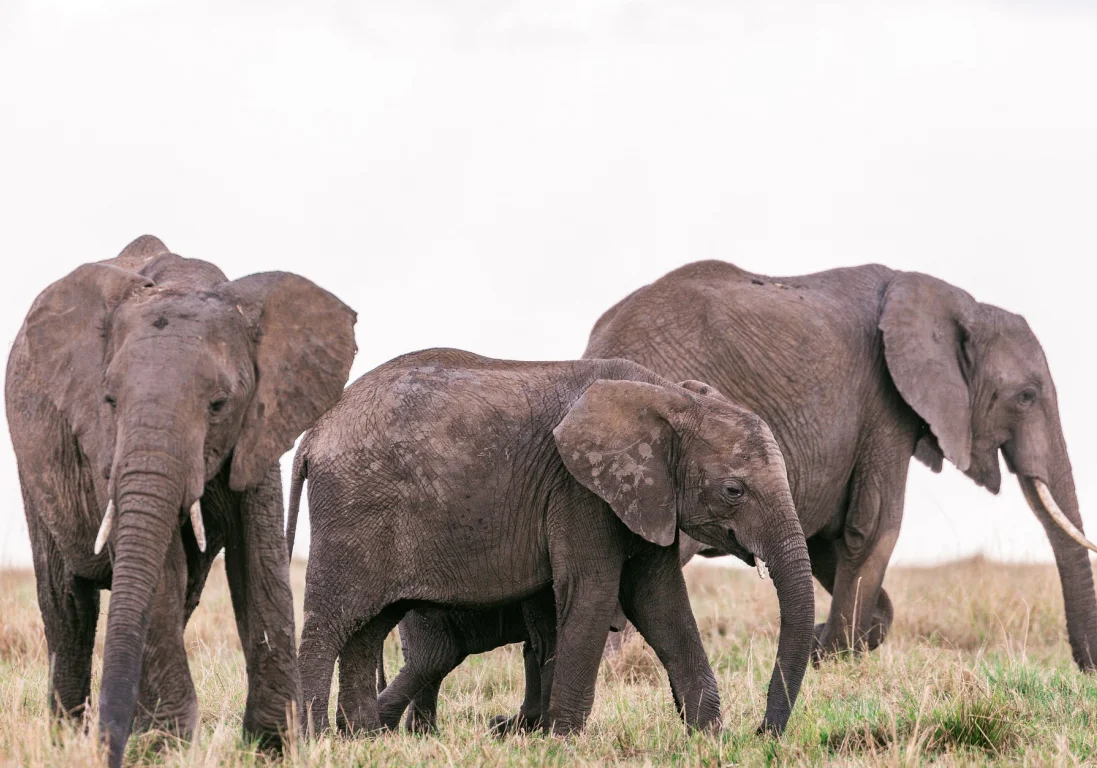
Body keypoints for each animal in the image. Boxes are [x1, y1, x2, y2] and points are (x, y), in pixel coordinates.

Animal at [8, 236, 359, 763]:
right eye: (109, 400)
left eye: (218, 405)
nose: (108, 747)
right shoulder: (102, 444)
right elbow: (159, 572)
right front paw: (169, 749)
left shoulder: (260, 425)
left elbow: (260, 559)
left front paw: (274, 748)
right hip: (33, 469)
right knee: (68, 606)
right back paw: (65, 738)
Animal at [291, 348, 816, 737]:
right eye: (734, 490)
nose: (761, 733)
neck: (666, 397)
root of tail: (314, 433)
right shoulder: (578, 490)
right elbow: (593, 592)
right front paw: (563, 740)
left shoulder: (645, 493)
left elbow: (660, 601)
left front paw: (709, 738)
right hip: (352, 509)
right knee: (333, 622)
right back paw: (316, 739)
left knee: (368, 627)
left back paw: (362, 738)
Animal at [583, 260, 1097, 667]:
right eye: (1026, 396)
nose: (1086, 669)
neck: (954, 303)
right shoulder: (885, 404)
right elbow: (873, 528)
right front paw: (835, 653)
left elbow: (826, 540)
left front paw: (825, 643)